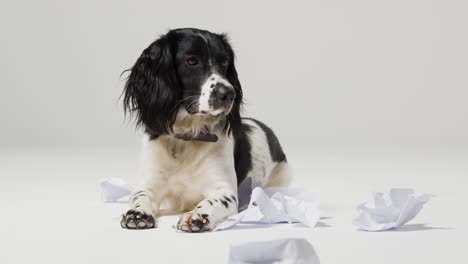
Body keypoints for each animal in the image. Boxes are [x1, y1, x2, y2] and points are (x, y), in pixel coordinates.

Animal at [119, 27, 288, 232]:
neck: (187, 137)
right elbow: (140, 196)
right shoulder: (148, 182)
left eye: (224, 62)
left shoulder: (225, 191)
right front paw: (137, 213)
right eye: (191, 61)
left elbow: (211, 201)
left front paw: (197, 215)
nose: (229, 94)